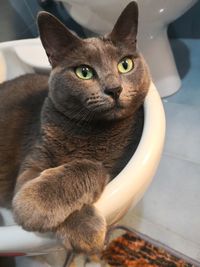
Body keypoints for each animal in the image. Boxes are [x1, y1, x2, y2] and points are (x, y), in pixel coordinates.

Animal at [0, 0, 150, 255]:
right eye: (84, 72)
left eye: (125, 65)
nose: (114, 89)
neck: (89, 132)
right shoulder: (33, 161)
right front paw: (83, 227)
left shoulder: (120, 163)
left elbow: (92, 166)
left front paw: (37, 203)